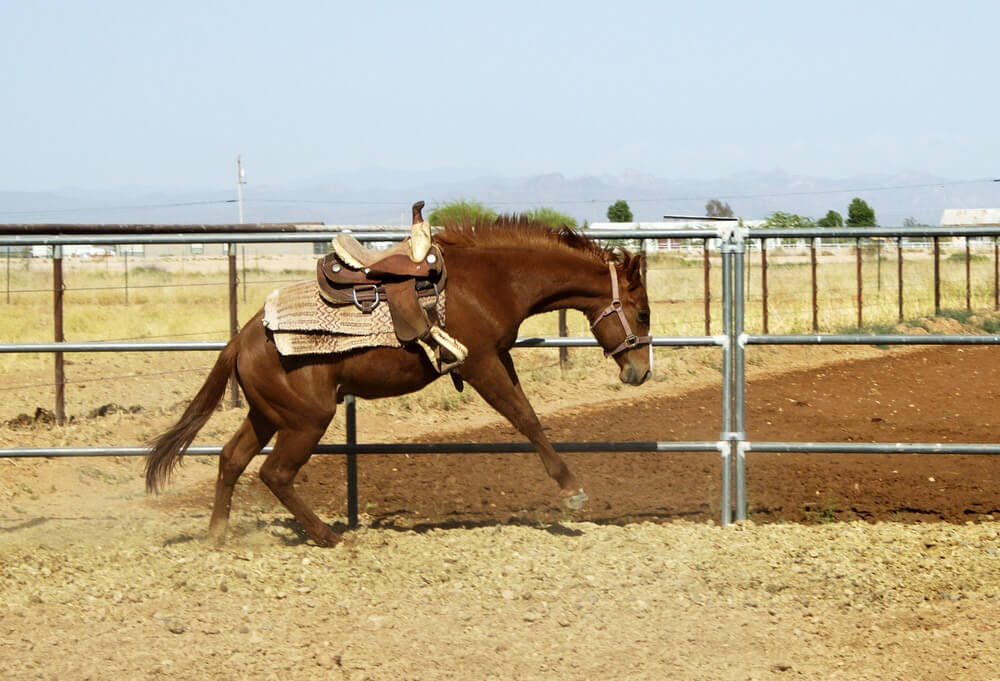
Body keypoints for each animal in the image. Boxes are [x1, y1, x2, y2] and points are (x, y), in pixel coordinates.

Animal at [145, 218, 652, 548]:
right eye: (644, 313)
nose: (640, 371)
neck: (492, 279)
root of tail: (242, 338)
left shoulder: (499, 357)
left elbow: (527, 415)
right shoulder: (481, 363)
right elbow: (524, 418)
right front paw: (571, 491)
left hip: (267, 415)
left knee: (231, 460)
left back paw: (218, 536)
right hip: (306, 420)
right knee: (275, 473)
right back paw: (330, 537)